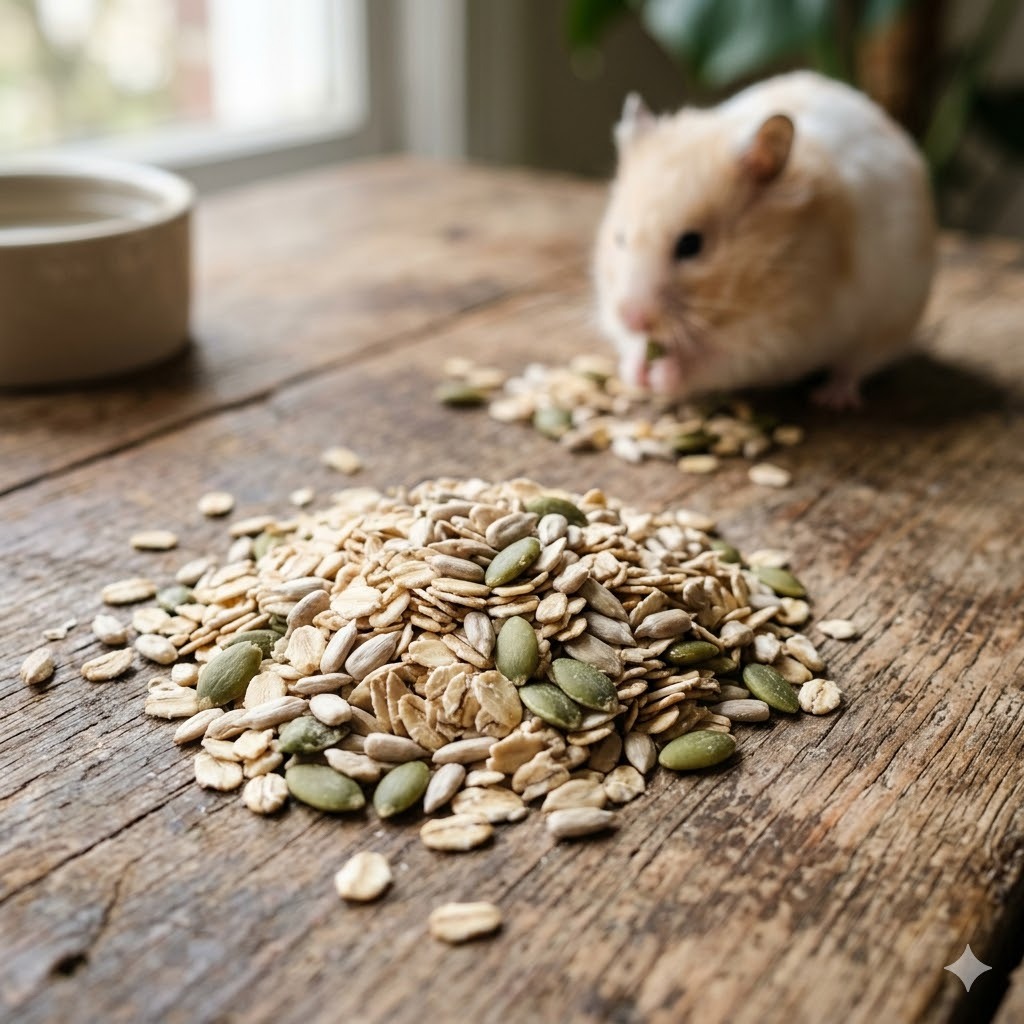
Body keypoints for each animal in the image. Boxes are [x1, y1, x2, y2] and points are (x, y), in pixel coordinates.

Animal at [594, 71, 936, 408]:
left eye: (691, 245)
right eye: (620, 238)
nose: (631, 318)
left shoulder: (784, 337)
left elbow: (717, 359)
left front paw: (663, 374)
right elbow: (638, 346)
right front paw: (637, 370)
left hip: (892, 321)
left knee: (857, 365)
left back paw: (831, 398)